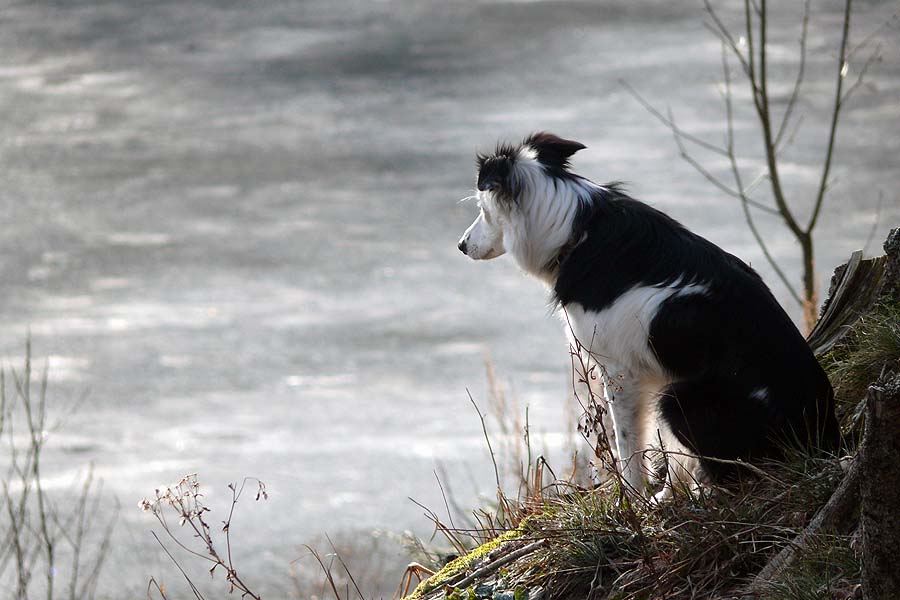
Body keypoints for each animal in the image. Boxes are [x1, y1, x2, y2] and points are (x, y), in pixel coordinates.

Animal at [458, 132, 844, 502]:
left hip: (679, 399)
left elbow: (629, 445)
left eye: (482, 209)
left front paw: (632, 502)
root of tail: (825, 438)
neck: (576, 230)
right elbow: (669, 452)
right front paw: (664, 496)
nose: (461, 245)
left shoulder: (620, 372)